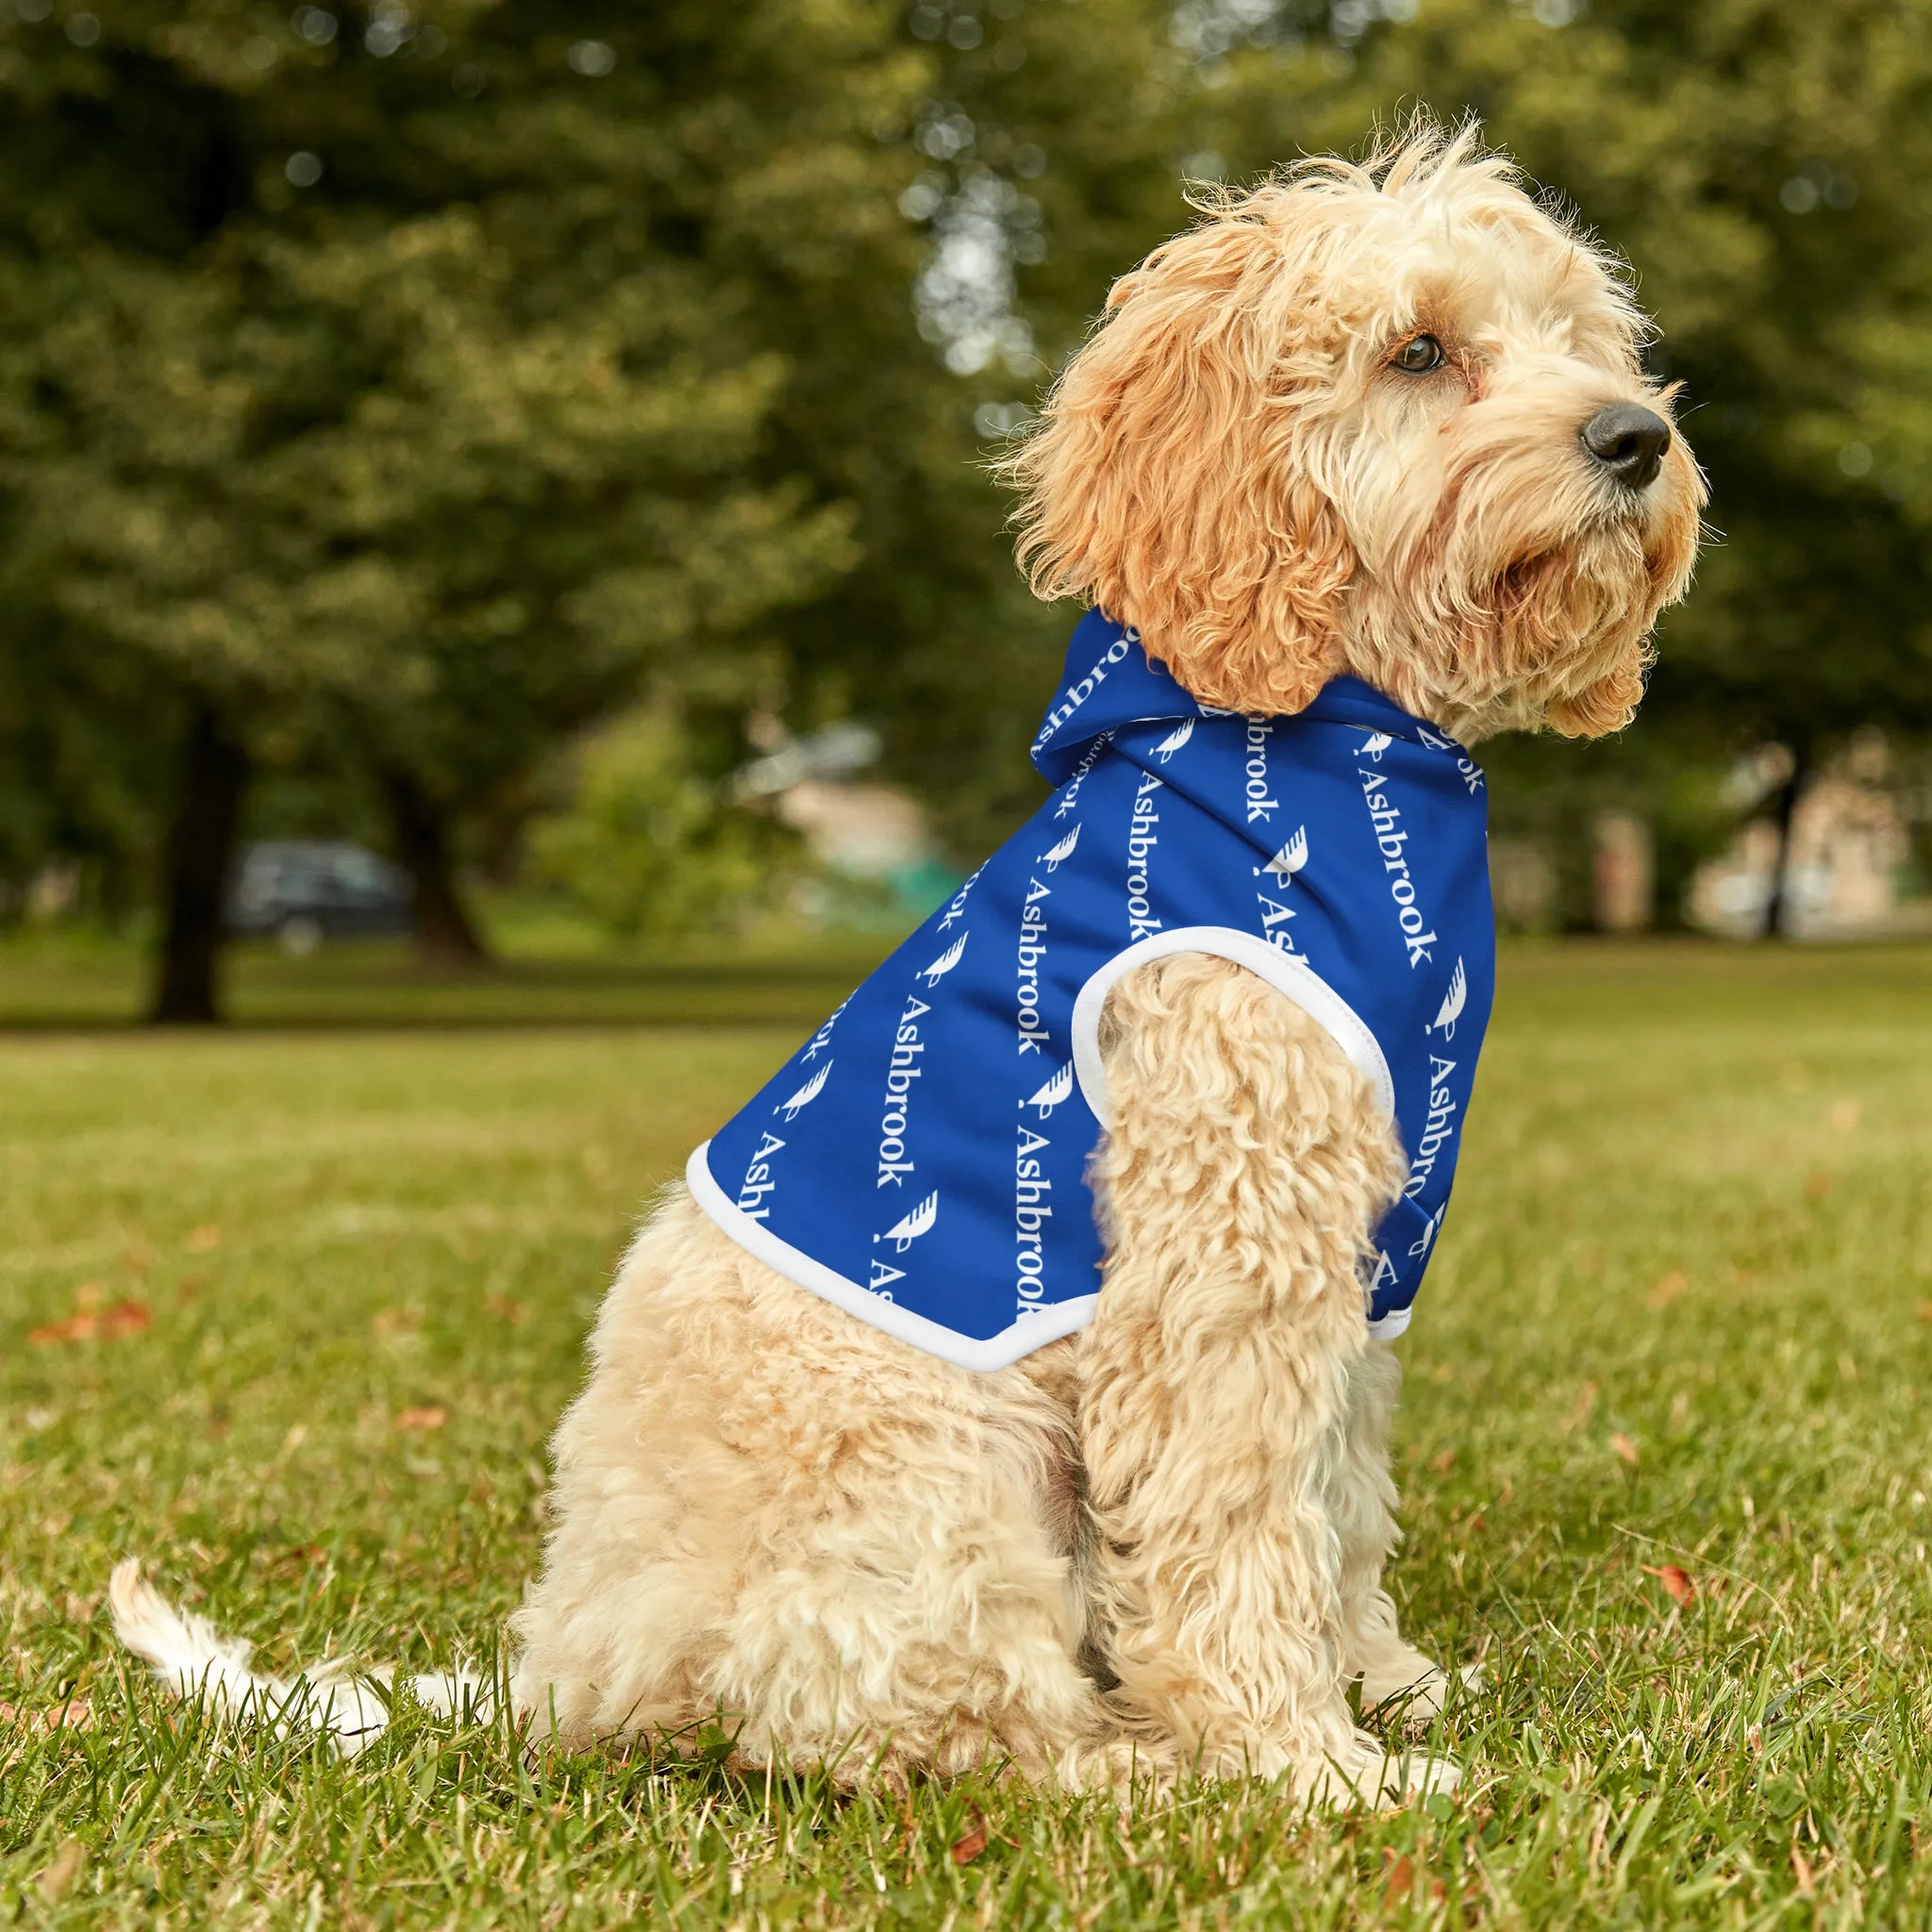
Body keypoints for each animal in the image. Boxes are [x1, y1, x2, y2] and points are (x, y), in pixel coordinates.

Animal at [112, 128, 1700, 1800]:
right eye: (1419, 351)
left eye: (1579, 338)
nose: (1637, 436)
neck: (1329, 747)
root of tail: (565, 1672)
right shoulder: (1222, 1251)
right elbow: (1239, 1523)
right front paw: (1308, 1764)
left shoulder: (1358, 1259)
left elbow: (1339, 1501)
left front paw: (1386, 1685)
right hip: (940, 1478)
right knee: (931, 1725)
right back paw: (1133, 1765)